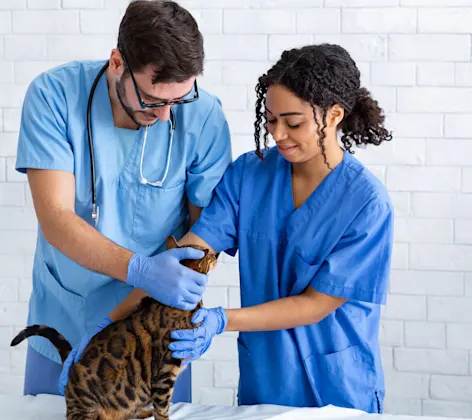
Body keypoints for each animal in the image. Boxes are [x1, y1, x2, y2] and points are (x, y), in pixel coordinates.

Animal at [11, 236, 218, 420]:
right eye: (207, 253)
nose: (215, 254)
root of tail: (70, 371)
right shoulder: (164, 373)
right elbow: (162, 408)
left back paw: (143, 413)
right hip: (86, 406)